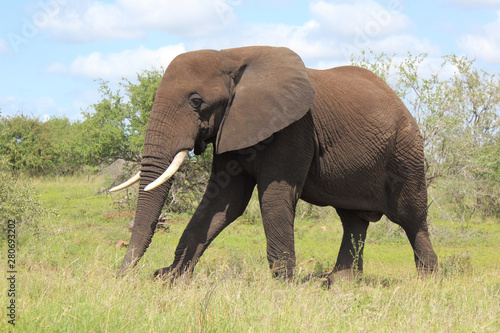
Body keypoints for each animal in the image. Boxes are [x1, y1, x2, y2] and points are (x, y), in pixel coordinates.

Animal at [110, 44, 438, 282]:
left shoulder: (294, 128)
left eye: (196, 101)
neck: (230, 55)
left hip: (406, 152)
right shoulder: (232, 126)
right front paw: (171, 277)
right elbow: (223, 201)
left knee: (412, 218)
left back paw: (427, 282)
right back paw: (337, 284)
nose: (121, 275)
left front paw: (283, 285)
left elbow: (274, 197)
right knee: (353, 220)